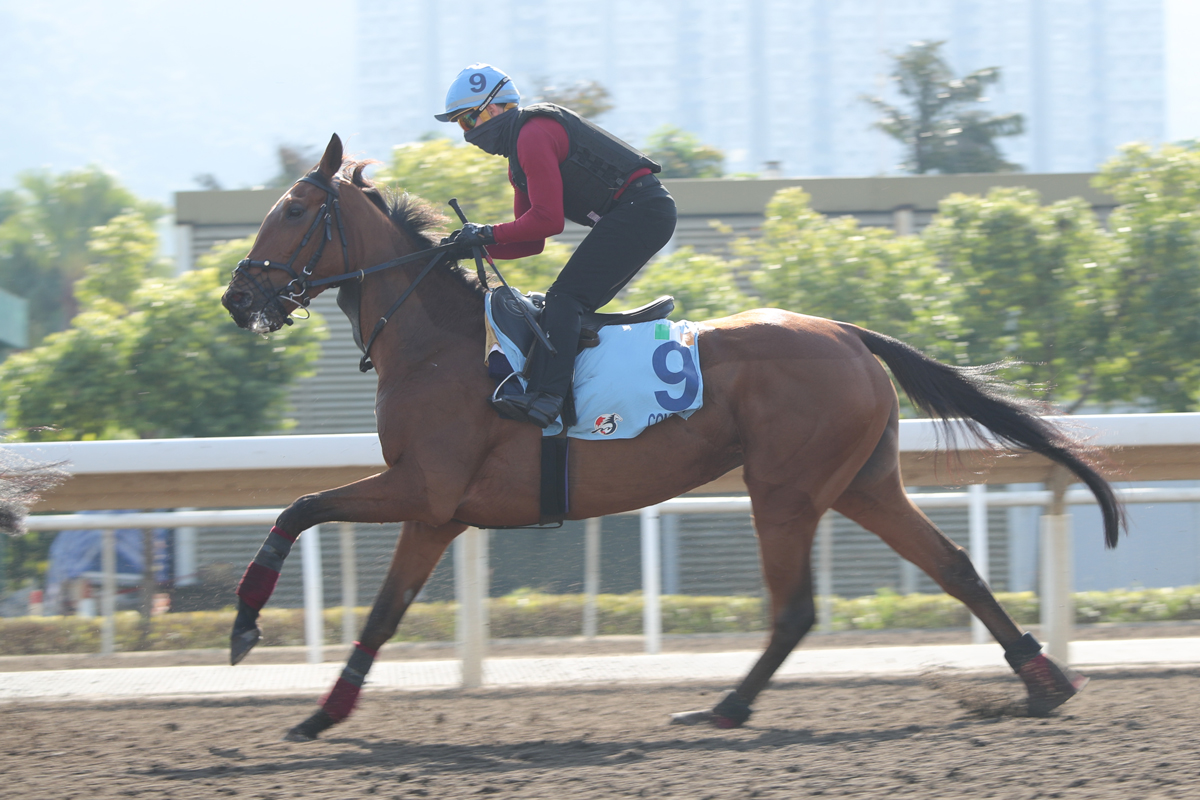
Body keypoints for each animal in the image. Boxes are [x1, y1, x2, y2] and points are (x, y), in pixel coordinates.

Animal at [223, 134, 1123, 743]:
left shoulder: (426, 491)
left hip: (785, 489)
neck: (436, 343)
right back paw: (1043, 682)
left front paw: (250, 638)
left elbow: (305, 516)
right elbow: (371, 598)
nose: (237, 298)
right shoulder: (437, 514)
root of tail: (847, 331)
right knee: (954, 567)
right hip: (863, 484)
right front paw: (318, 710)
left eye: (293, 211)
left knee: (797, 608)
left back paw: (726, 706)